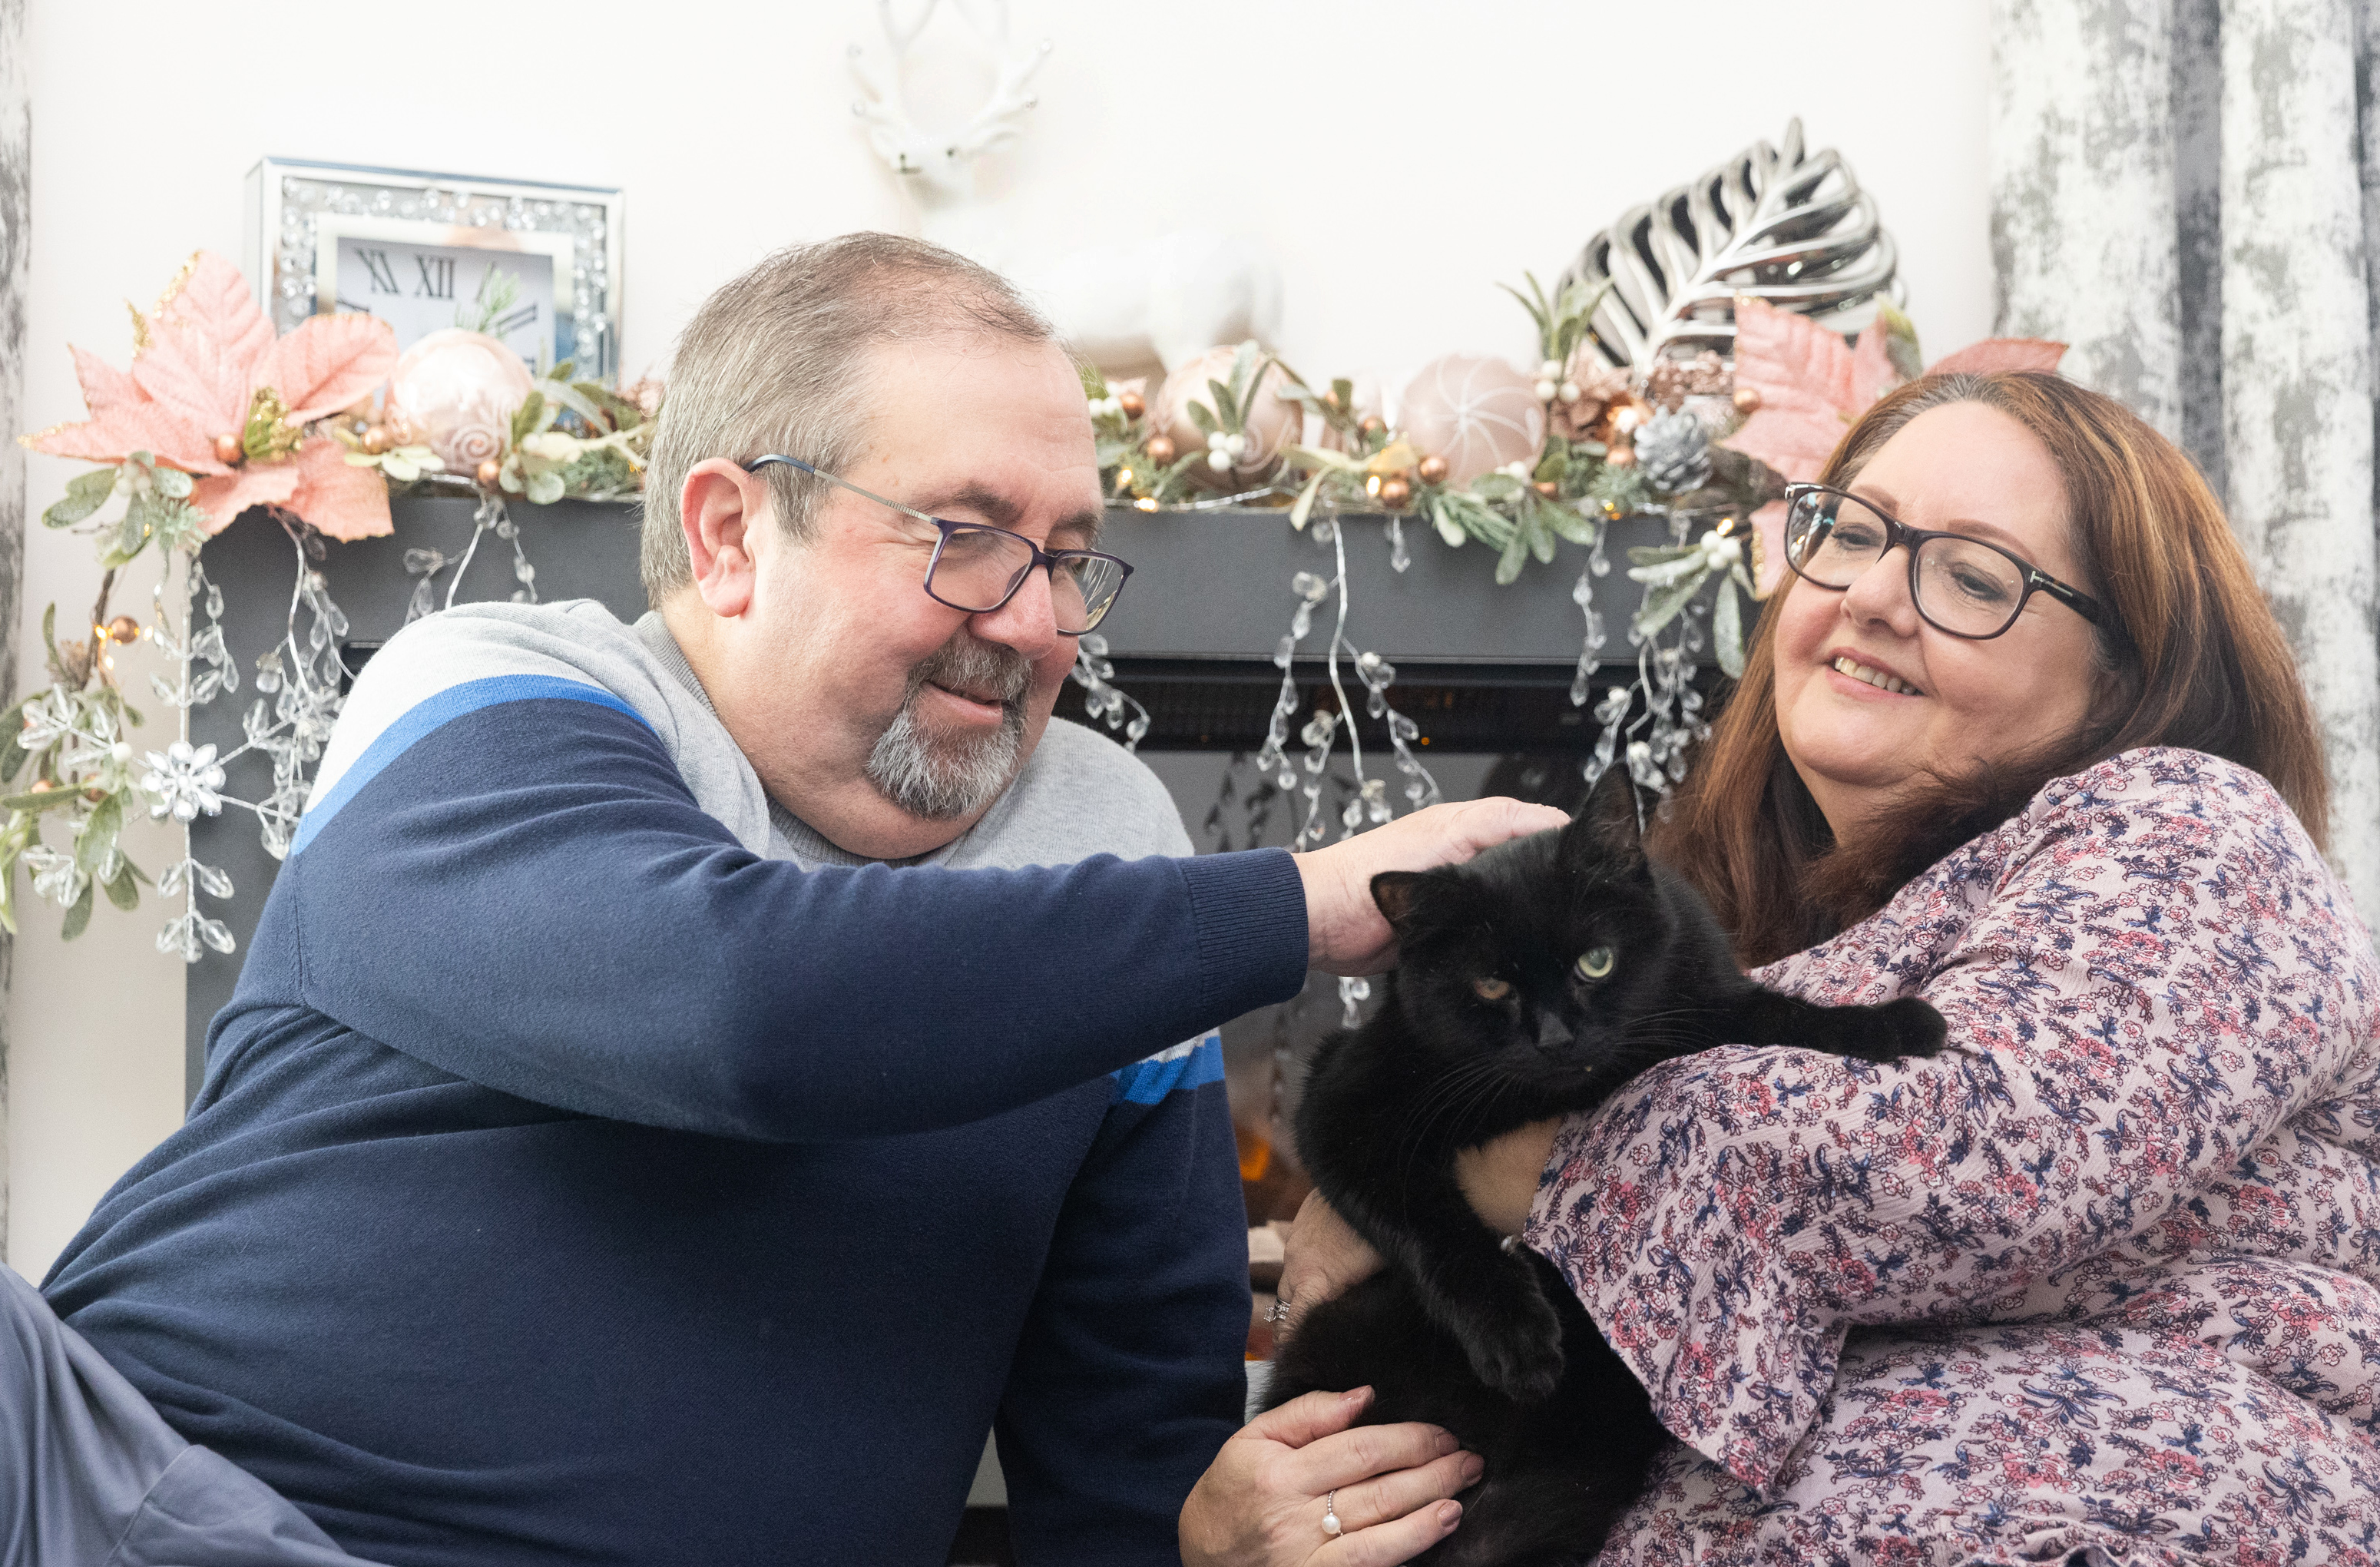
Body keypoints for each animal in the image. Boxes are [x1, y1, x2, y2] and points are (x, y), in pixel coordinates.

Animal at [1276, 771, 1941, 1562]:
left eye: (1596, 961)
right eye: (1491, 987)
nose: (1555, 1038)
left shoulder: (1701, 1006)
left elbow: (1782, 1018)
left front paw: (1891, 1024)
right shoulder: (1344, 1106)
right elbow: (1433, 1226)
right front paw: (1515, 1340)